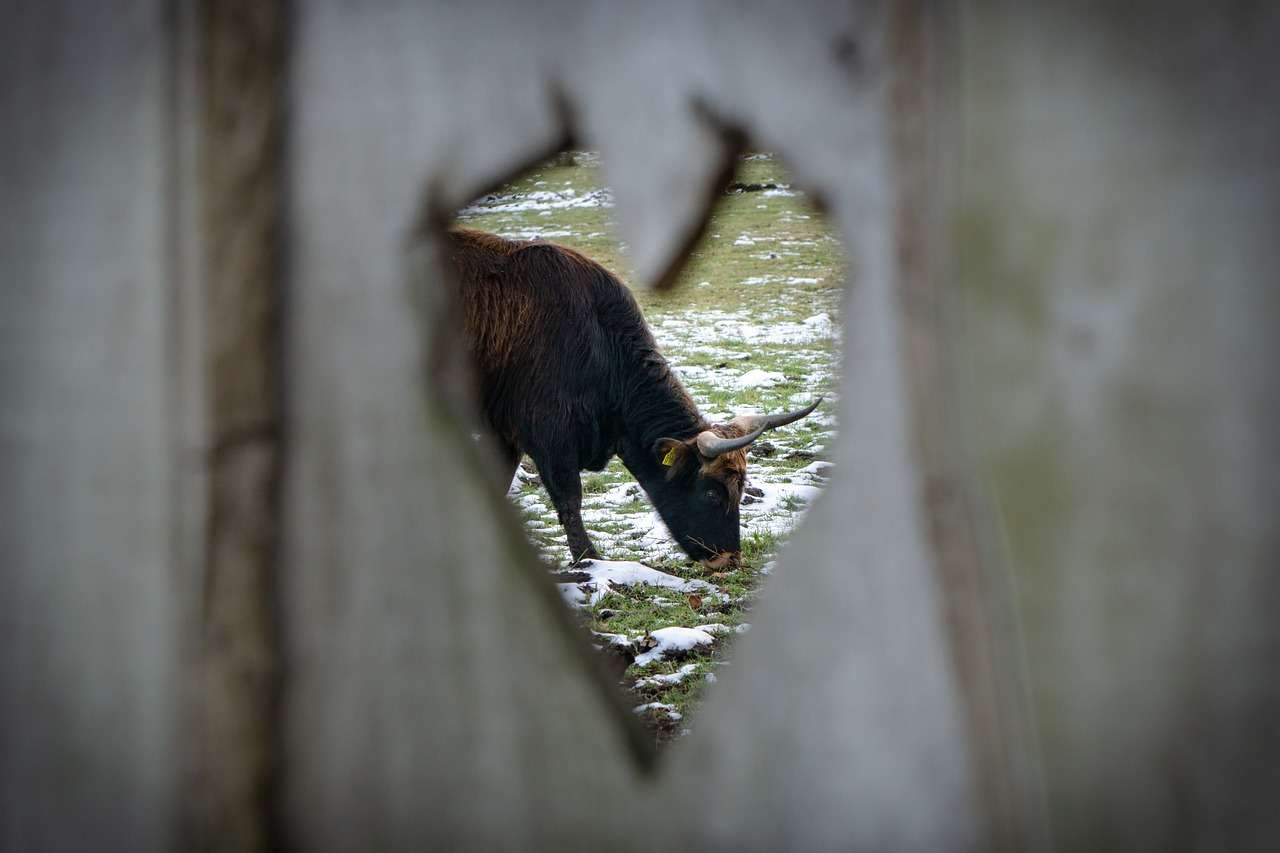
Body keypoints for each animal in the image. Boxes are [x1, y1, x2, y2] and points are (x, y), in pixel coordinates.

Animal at [450, 229, 819, 568]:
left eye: (741, 490)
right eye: (712, 492)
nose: (727, 560)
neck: (598, 342)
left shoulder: (505, 436)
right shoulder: (548, 434)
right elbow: (570, 497)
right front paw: (588, 559)